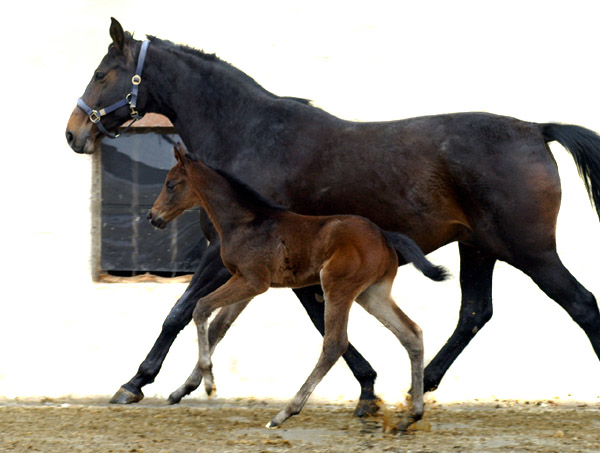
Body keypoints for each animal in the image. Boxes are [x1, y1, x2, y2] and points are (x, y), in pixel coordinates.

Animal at [148, 144, 448, 430]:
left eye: (171, 184)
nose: (153, 216)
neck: (245, 222)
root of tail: (385, 235)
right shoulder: (246, 286)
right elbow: (217, 328)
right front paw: (182, 389)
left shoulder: (252, 281)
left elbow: (200, 308)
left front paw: (209, 382)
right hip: (372, 294)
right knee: (411, 334)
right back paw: (411, 416)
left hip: (337, 287)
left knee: (335, 344)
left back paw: (284, 413)